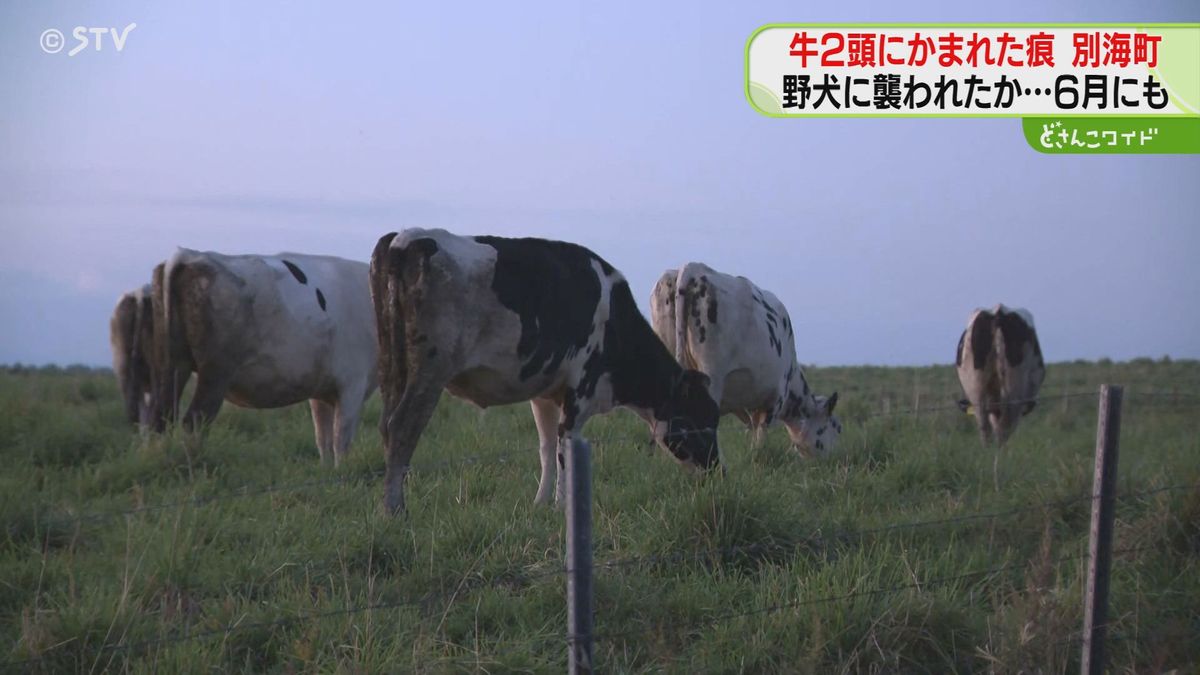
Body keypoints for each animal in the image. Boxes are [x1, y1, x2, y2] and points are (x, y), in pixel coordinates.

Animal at [150, 247, 376, 461]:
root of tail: (190, 255)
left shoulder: (322, 389)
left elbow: (323, 439)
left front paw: (327, 470)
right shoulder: (352, 384)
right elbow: (341, 440)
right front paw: (341, 470)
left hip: (172, 364)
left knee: (162, 417)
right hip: (215, 371)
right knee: (195, 420)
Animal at [367, 228, 720, 511]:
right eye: (698, 418)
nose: (718, 471)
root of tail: (403, 238)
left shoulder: (546, 393)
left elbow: (547, 447)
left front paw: (541, 503)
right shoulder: (581, 389)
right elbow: (566, 446)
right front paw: (564, 505)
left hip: (391, 368)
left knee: (385, 425)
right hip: (430, 369)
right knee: (402, 428)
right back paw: (395, 511)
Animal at [652, 260, 840, 454]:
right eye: (837, 427)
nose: (833, 455)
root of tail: (692, 267)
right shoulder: (774, 399)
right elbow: (760, 436)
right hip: (711, 374)